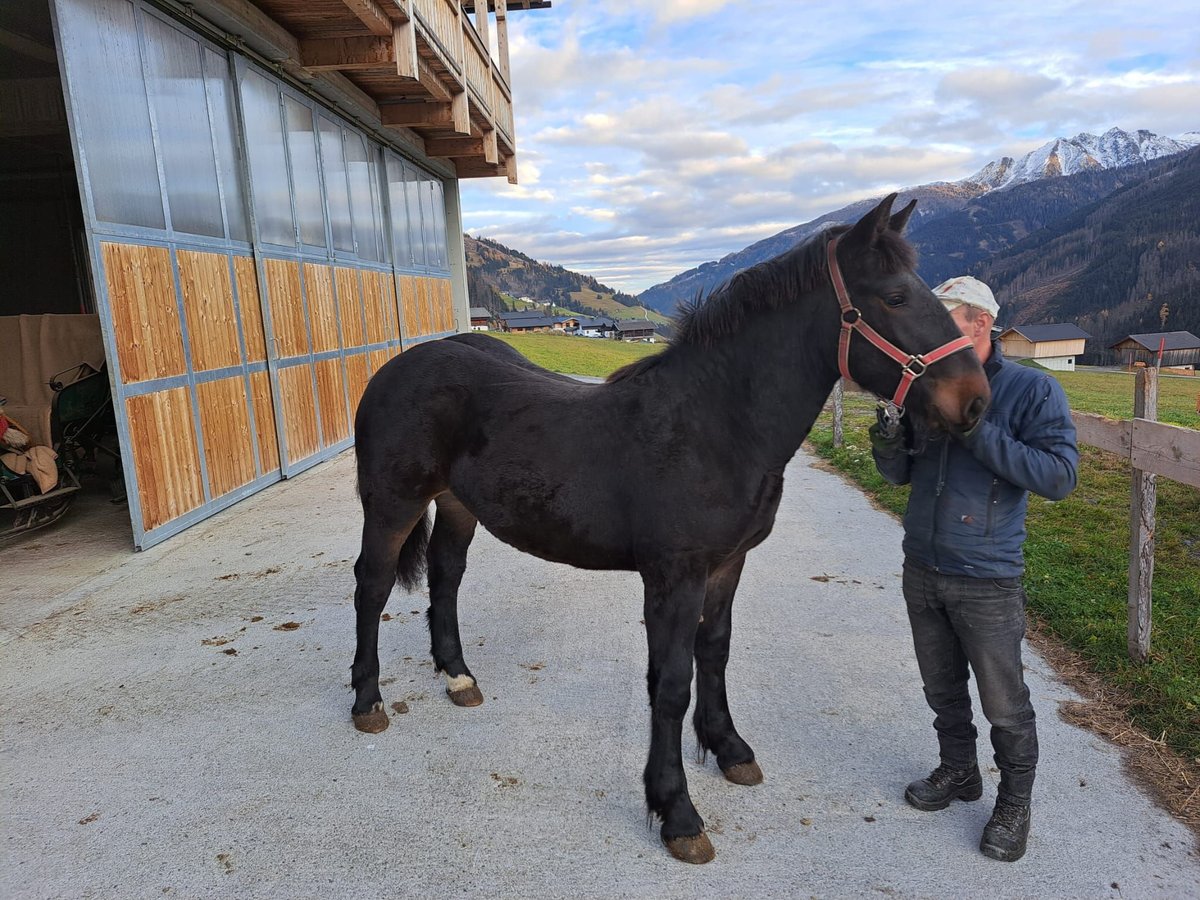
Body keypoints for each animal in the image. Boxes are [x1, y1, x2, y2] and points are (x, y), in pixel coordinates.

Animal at [350, 196, 988, 868]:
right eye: (894, 297)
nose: (975, 401)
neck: (715, 426)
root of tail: (398, 367)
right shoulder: (674, 577)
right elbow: (672, 683)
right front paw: (677, 812)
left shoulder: (726, 565)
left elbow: (715, 653)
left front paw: (729, 749)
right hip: (391, 504)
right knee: (372, 586)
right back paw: (367, 702)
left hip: (457, 505)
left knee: (446, 577)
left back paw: (458, 677)